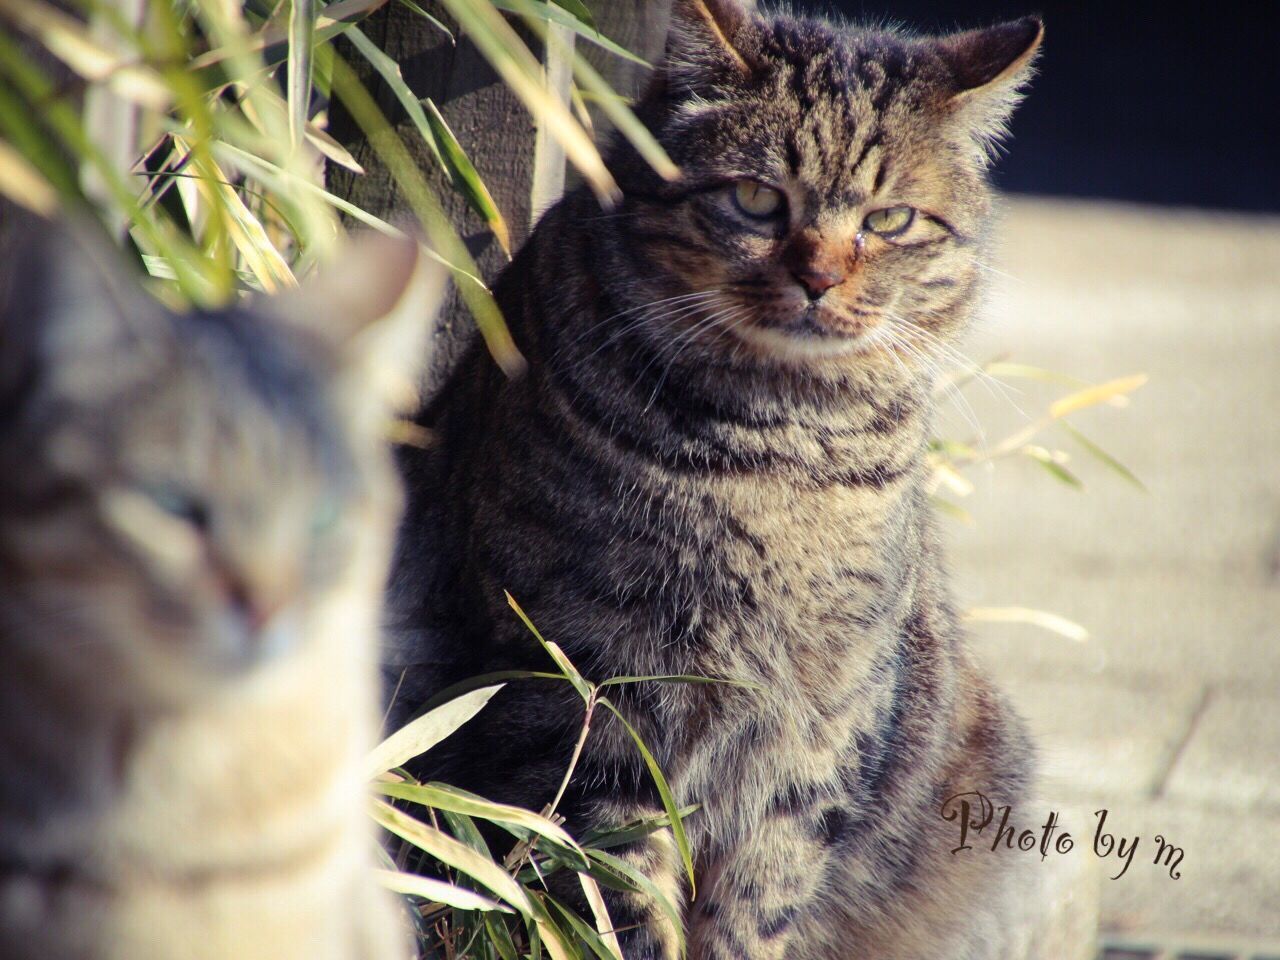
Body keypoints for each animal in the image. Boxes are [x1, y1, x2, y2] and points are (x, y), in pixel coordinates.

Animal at [389, 3, 1049, 957]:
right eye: (757, 200)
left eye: (890, 220)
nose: (819, 277)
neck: (777, 452)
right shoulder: (592, 699)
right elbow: (616, 896)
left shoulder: (816, 729)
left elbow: (755, 903)